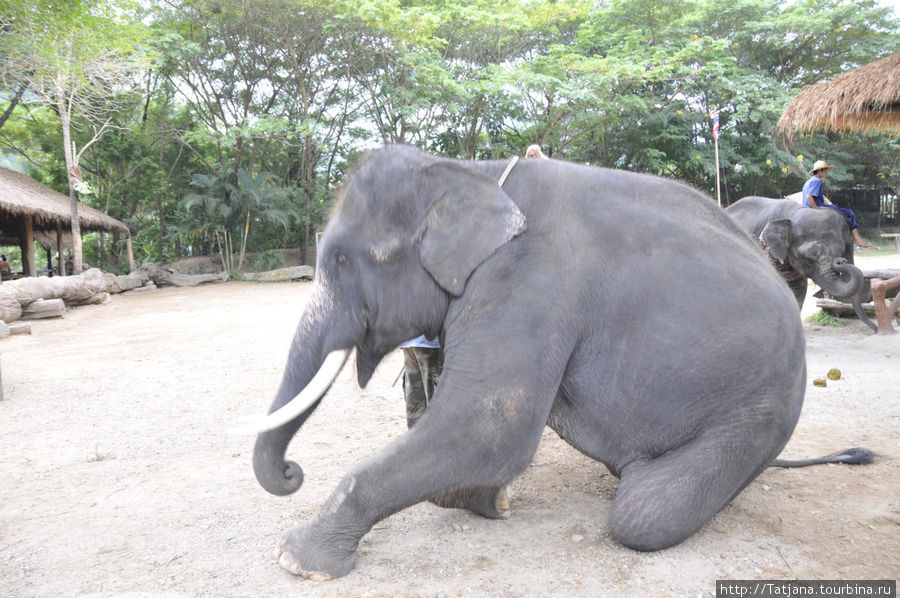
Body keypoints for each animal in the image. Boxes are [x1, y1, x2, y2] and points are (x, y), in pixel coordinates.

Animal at [728, 196, 876, 332]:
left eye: (840, 251)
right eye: (807, 259)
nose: (841, 260)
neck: (791, 214)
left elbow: (799, 290)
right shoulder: (767, 251)